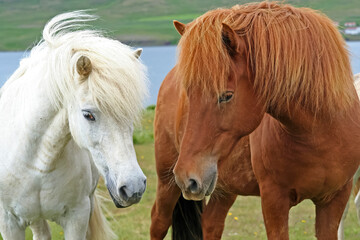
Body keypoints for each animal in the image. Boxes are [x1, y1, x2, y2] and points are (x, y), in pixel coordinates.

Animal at [0, 11, 148, 240]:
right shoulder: (9, 222)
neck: (38, 164)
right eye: (88, 115)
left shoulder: (77, 217)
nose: (134, 187)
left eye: (130, 115)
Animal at [151, 1, 360, 240]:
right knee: (158, 222)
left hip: (223, 189)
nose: (187, 177)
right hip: (166, 181)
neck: (320, 135)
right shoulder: (274, 201)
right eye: (188, 93)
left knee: (211, 223)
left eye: (226, 95)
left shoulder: (334, 200)